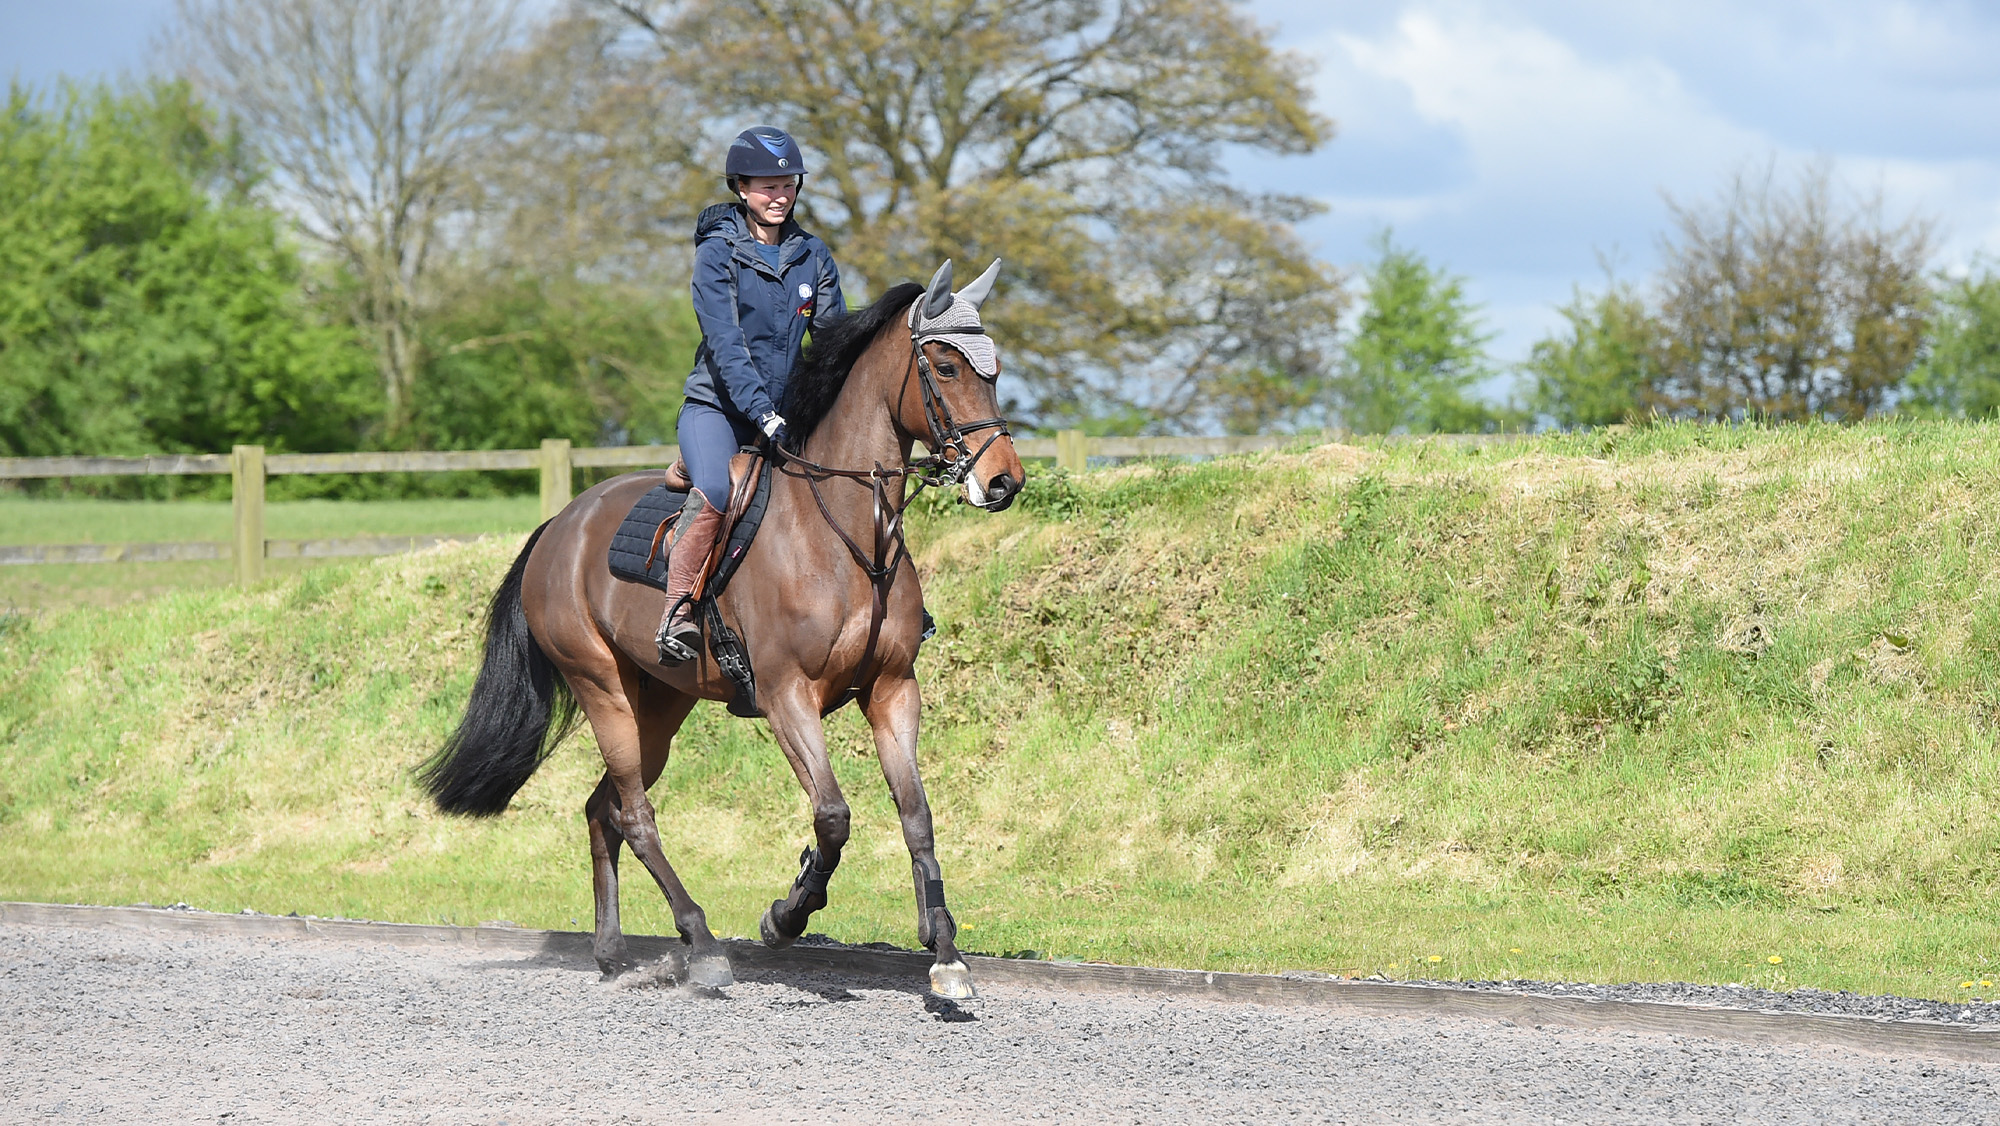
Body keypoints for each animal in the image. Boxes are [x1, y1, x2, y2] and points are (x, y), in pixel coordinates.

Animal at [416, 260, 1024, 1000]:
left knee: (603, 808)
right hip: (602, 687)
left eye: (994, 371)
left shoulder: (892, 690)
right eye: (944, 365)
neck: (845, 533)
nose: (1005, 481)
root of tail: (560, 524)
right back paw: (701, 944)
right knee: (635, 815)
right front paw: (786, 915)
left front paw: (945, 953)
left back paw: (613, 951)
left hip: (660, 704)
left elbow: (917, 816)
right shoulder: (788, 696)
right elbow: (833, 817)